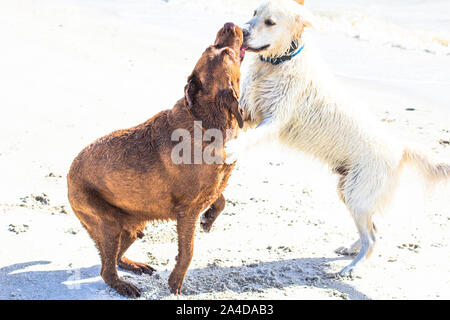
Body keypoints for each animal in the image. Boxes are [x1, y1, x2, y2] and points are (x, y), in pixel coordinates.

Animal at [67, 23, 246, 298]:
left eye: (220, 47)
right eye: (226, 52)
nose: (229, 24)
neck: (209, 119)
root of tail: (68, 173)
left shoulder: (212, 186)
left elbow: (221, 198)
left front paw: (209, 219)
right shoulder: (187, 211)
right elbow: (188, 251)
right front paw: (175, 283)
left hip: (132, 223)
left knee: (116, 256)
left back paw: (134, 265)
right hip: (107, 223)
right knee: (106, 270)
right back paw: (124, 285)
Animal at [229, 0, 450, 276]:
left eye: (270, 22)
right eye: (254, 13)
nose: (241, 30)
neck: (278, 63)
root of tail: (400, 148)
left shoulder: (274, 118)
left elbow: (250, 137)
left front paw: (231, 147)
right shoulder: (250, 111)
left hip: (358, 194)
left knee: (373, 238)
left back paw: (352, 267)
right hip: (349, 192)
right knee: (374, 229)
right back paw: (351, 249)